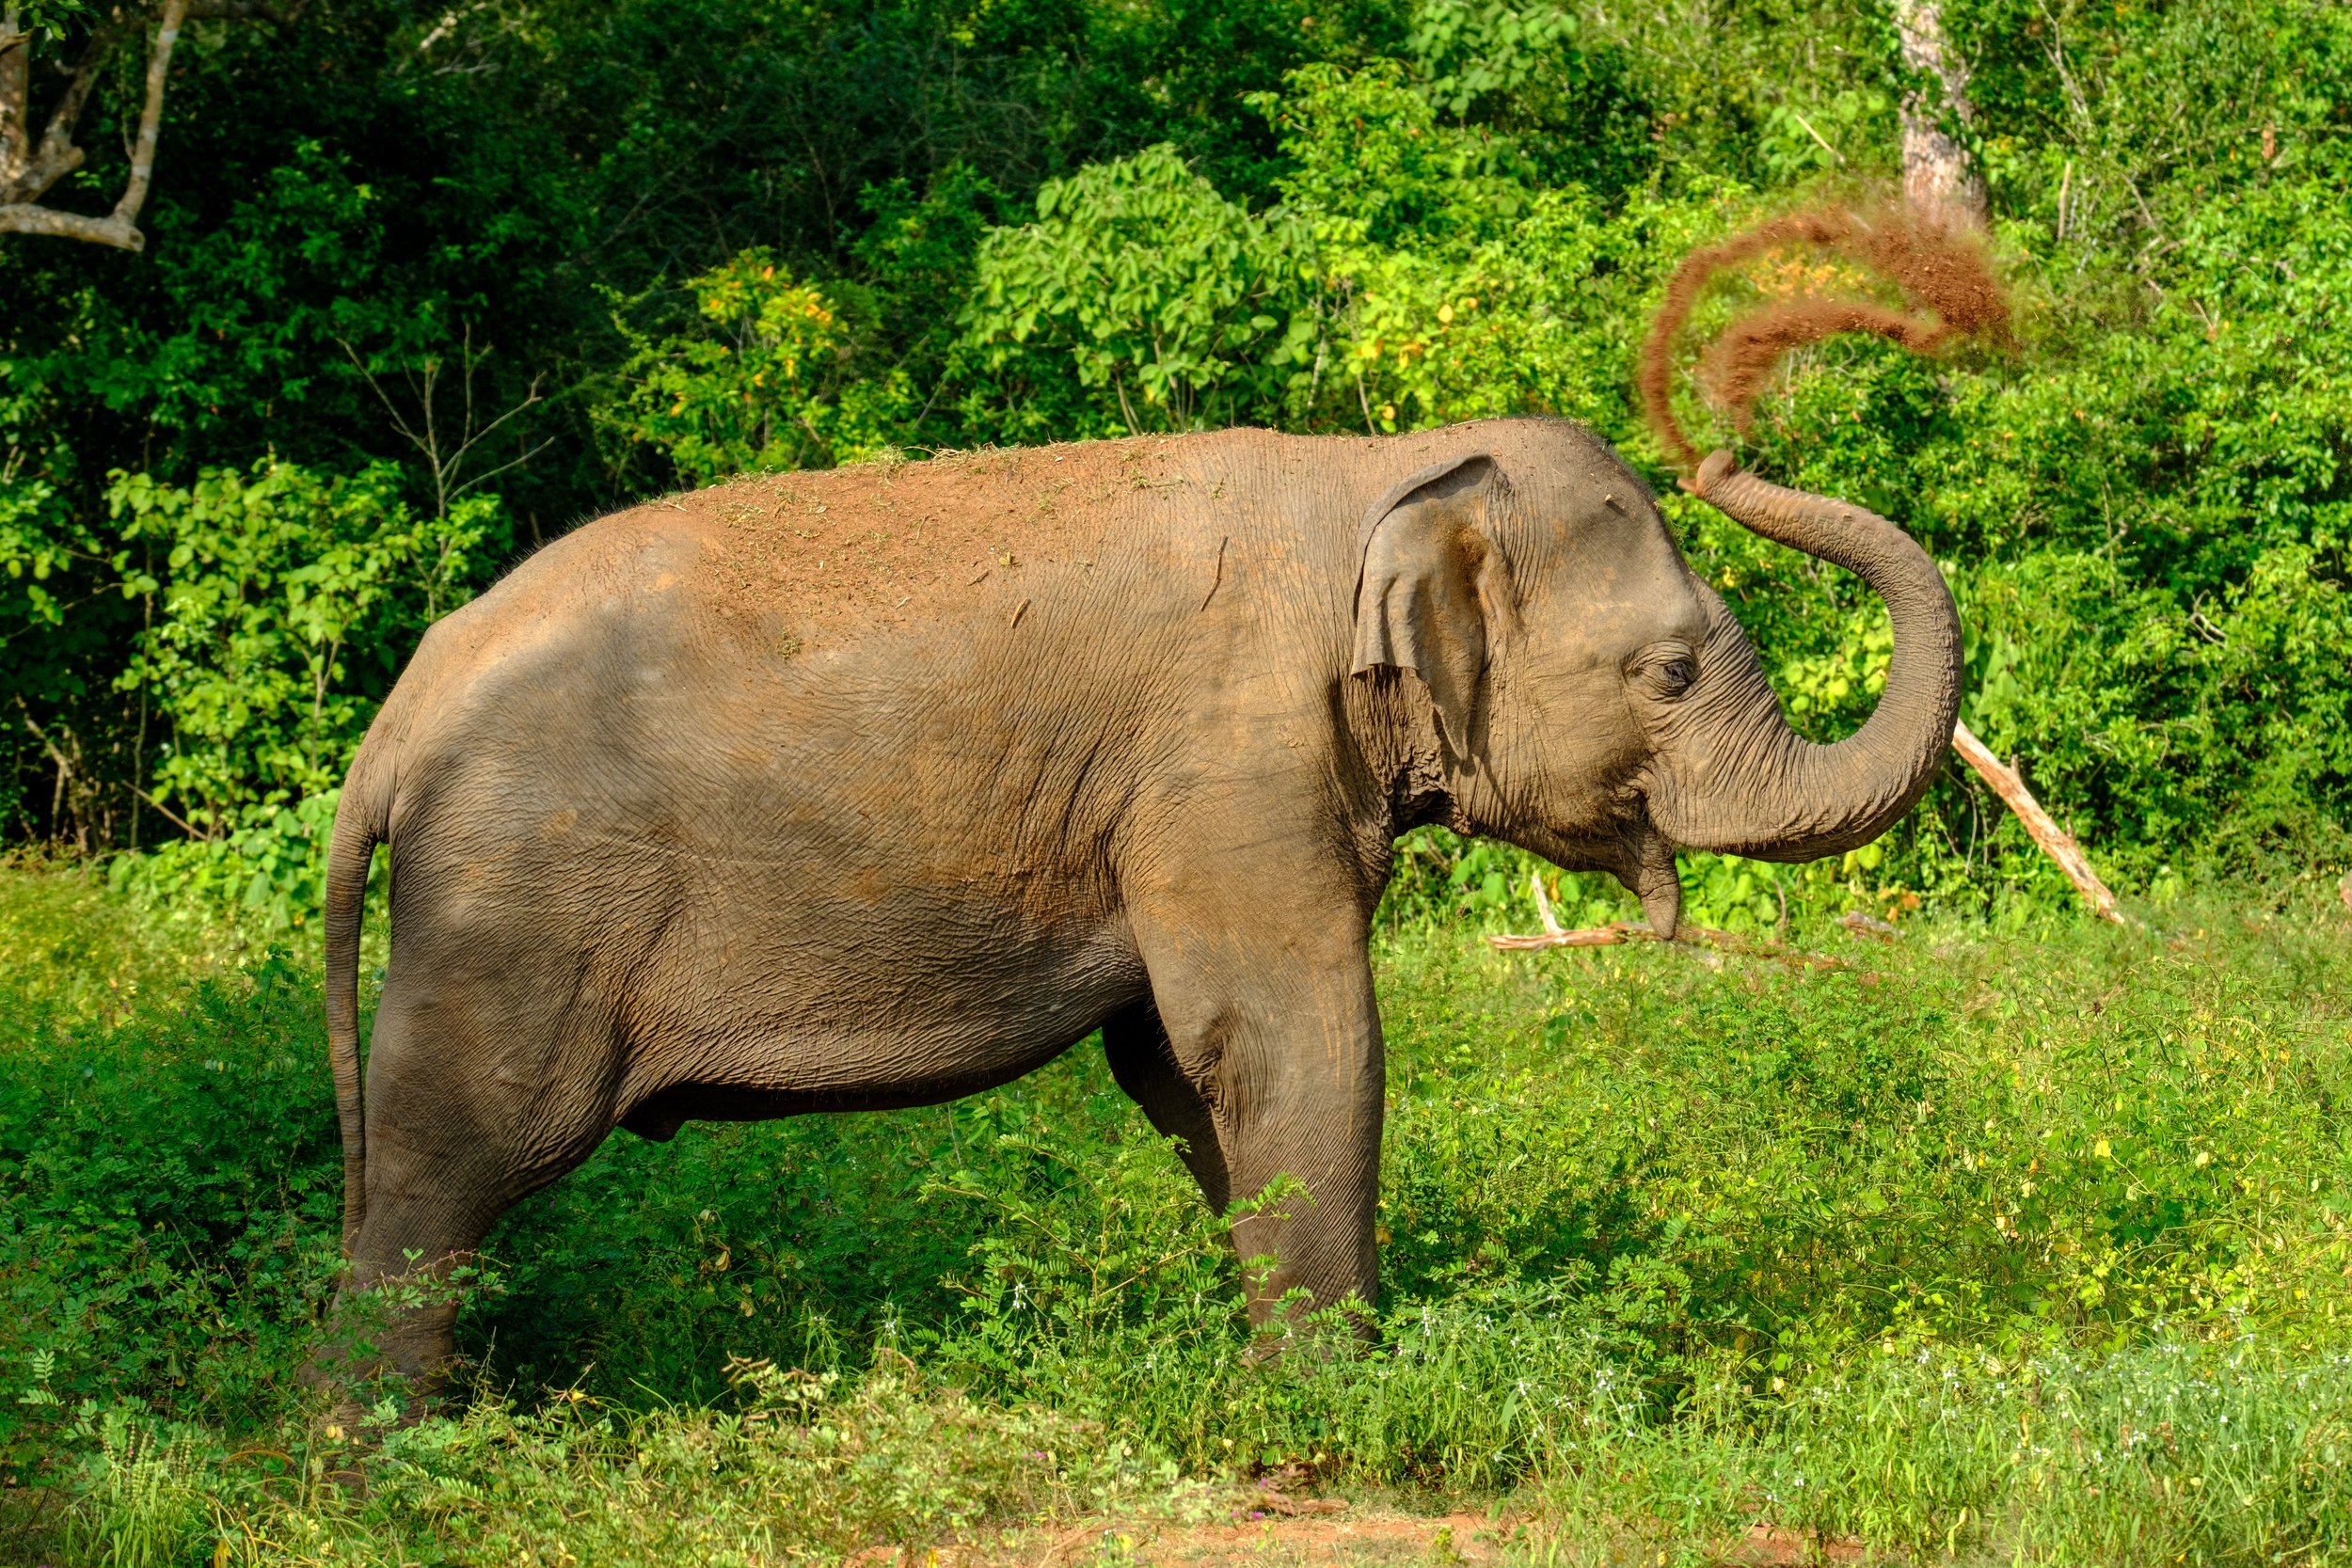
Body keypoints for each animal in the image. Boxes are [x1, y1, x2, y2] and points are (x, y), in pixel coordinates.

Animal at [321, 418, 1962, 1387]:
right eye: (1671, 671)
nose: (1726, 443)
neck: (1376, 474)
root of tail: (397, 715)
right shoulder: (1227, 757)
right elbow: (1292, 1036)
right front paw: (1350, 1410)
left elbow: (1182, 1070)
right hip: (515, 900)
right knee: (451, 1162)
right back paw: (380, 1462)